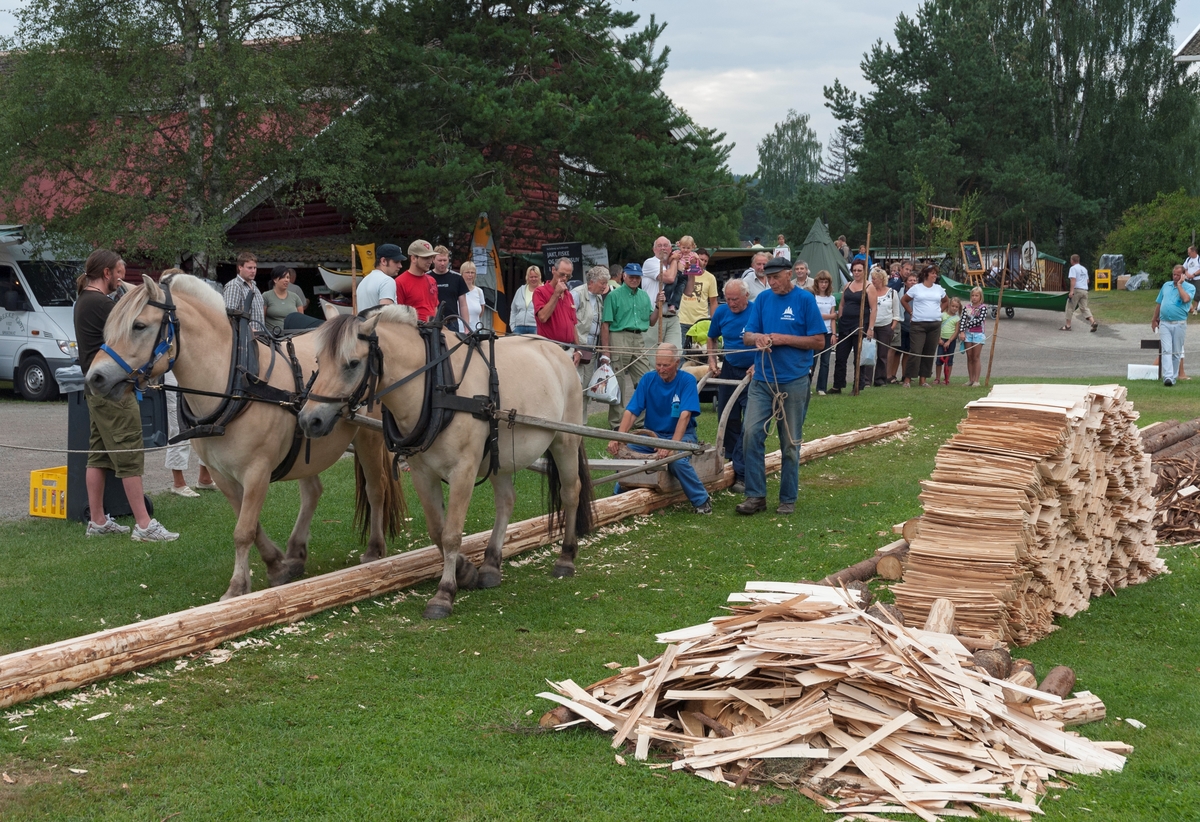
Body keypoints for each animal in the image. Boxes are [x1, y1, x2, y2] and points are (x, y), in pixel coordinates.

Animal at [85, 272, 403, 600]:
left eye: (138, 326)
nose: (94, 378)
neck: (236, 385)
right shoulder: (222, 475)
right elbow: (250, 524)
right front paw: (276, 564)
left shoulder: (257, 471)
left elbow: (243, 530)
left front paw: (237, 586)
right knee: (313, 492)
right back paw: (296, 552)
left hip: (368, 438)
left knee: (376, 489)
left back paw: (374, 549)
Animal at [297, 307, 592, 614]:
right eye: (318, 360)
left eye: (352, 363)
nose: (309, 420)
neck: (435, 387)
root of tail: (559, 351)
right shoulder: (422, 473)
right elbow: (437, 531)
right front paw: (465, 572)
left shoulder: (464, 470)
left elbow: (451, 534)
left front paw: (444, 593)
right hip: (499, 455)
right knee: (506, 501)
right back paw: (491, 565)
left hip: (565, 441)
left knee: (571, 493)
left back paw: (566, 558)